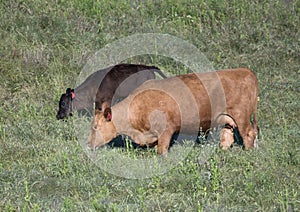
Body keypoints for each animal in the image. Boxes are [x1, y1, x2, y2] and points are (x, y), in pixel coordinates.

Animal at [87, 68, 258, 156]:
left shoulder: (166, 130)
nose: (88, 144)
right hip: (227, 119)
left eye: (95, 127)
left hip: (241, 115)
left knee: (248, 133)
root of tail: (246, 72)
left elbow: (162, 150)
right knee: (228, 136)